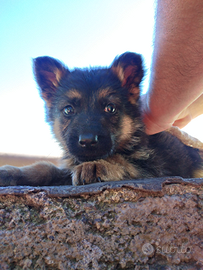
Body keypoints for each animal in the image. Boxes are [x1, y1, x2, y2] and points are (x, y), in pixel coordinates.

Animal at [0, 52, 203, 187]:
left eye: (110, 108)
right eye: (68, 110)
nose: (87, 141)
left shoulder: (155, 167)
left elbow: (124, 161)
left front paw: (98, 165)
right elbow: (45, 168)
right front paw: (13, 172)